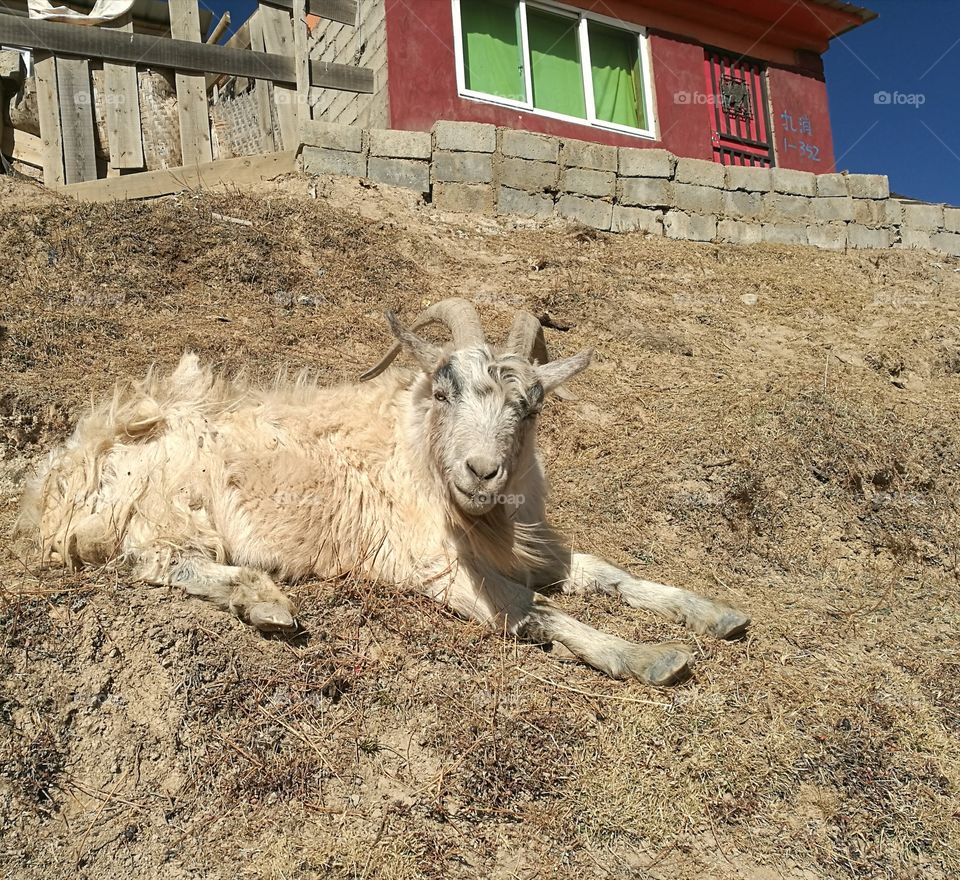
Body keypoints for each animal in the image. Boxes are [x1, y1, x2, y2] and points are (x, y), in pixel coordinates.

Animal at [16, 300, 752, 684]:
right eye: (446, 391)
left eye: (530, 406)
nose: (481, 472)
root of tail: (58, 476)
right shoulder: (430, 567)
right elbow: (532, 612)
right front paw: (648, 657)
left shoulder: (533, 546)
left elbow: (607, 572)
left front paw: (714, 613)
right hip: (169, 504)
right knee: (159, 560)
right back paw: (264, 599)